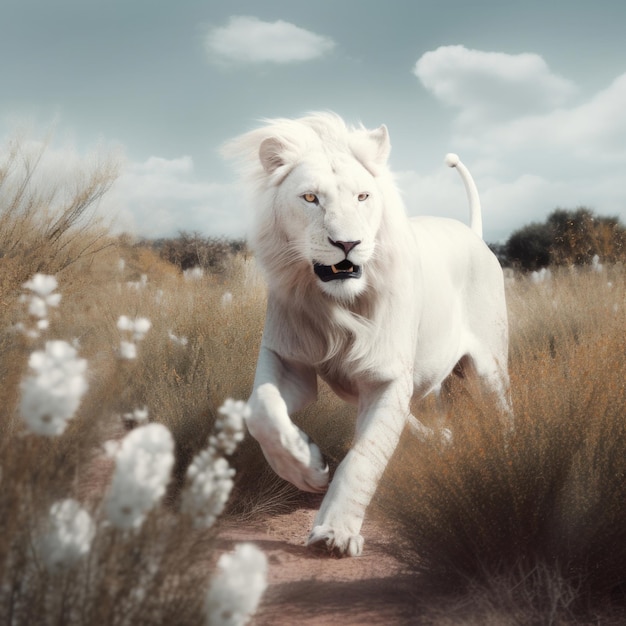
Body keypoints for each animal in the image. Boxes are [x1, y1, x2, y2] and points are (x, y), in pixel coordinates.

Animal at [223, 113, 508, 556]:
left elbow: (365, 456)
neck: (339, 307)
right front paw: (308, 467)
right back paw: (438, 439)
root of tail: (472, 234)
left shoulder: (387, 377)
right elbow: (261, 411)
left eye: (362, 197)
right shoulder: (287, 358)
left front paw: (336, 532)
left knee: (503, 411)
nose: (347, 243)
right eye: (310, 198)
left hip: (490, 368)